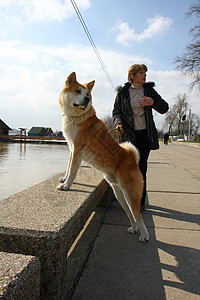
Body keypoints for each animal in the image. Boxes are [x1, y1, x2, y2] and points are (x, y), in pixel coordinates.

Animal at [56, 72, 148, 241]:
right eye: (78, 91)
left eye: (87, 94)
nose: (87, 99)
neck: (79, 117)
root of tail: (131, 158)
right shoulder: (71, 148)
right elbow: (68, 167)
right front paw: (64, 179)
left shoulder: (77, 148)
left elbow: (72, 170)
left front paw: (66, 185)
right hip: (119, 193)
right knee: (131, 215)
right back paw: (133, 228)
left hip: (131, 194)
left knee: (138, 216)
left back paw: (145, 235)